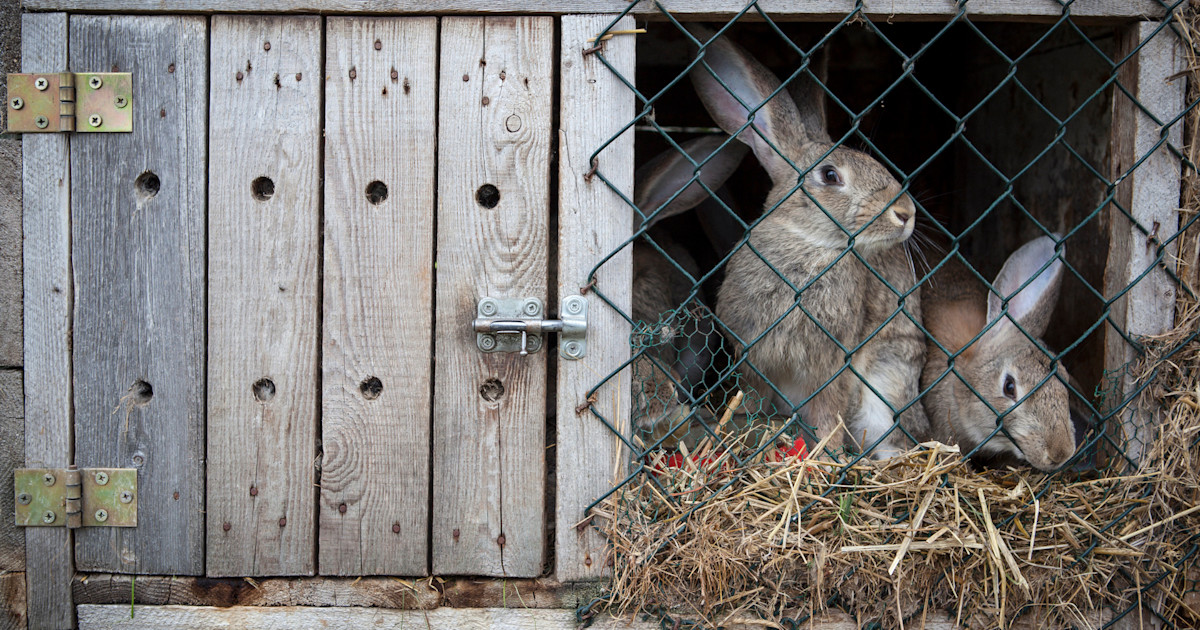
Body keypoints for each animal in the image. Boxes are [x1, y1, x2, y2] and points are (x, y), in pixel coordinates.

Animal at [687, 25, 929, 458]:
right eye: (830, 176)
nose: (906, 213)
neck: (809, 244)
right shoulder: (753, 357)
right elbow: (754, 396)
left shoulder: (834, 363)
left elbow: (829, 409)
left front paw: (826, 453)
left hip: (886, 387)